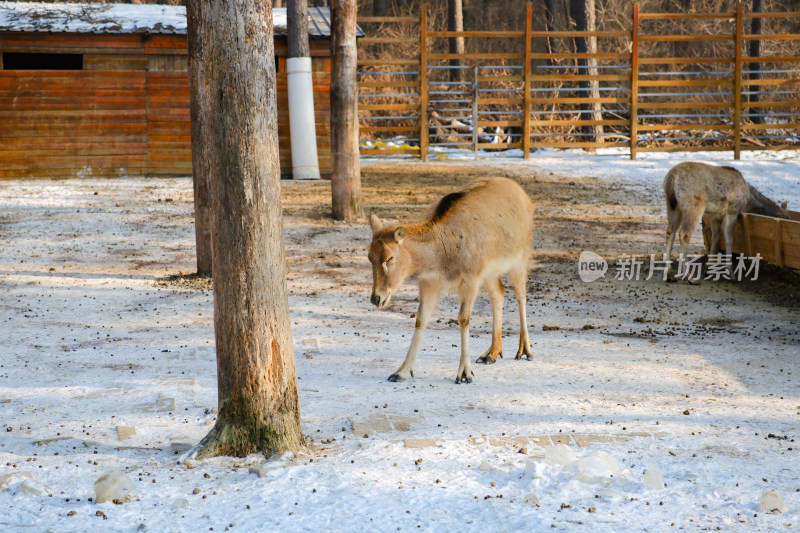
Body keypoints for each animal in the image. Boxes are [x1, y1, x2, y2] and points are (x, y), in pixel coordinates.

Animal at [368, 178, 532, 382]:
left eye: (389, 258)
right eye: (369, 256)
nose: (376, 298)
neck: (440, 259)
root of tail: (522, 193)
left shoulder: (470, 277)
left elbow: (463, 318)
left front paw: (465, 374)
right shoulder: (430, 283)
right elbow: (420, 319)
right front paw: (400, 372)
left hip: (521, 256)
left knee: (521, 294)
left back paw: (525, 350)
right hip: (489, 272)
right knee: (499, 293)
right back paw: (491, 353)